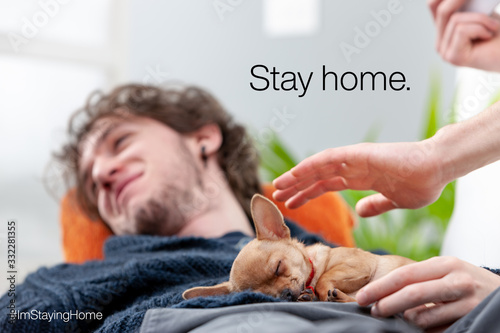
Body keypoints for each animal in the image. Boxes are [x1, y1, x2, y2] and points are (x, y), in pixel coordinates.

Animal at [184, 193, 414, 302]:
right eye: (259, 294)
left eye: (278, 267)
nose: (284, 295)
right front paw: (310, 296)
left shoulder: (358, 264)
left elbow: (323, 280)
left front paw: (321, 291)